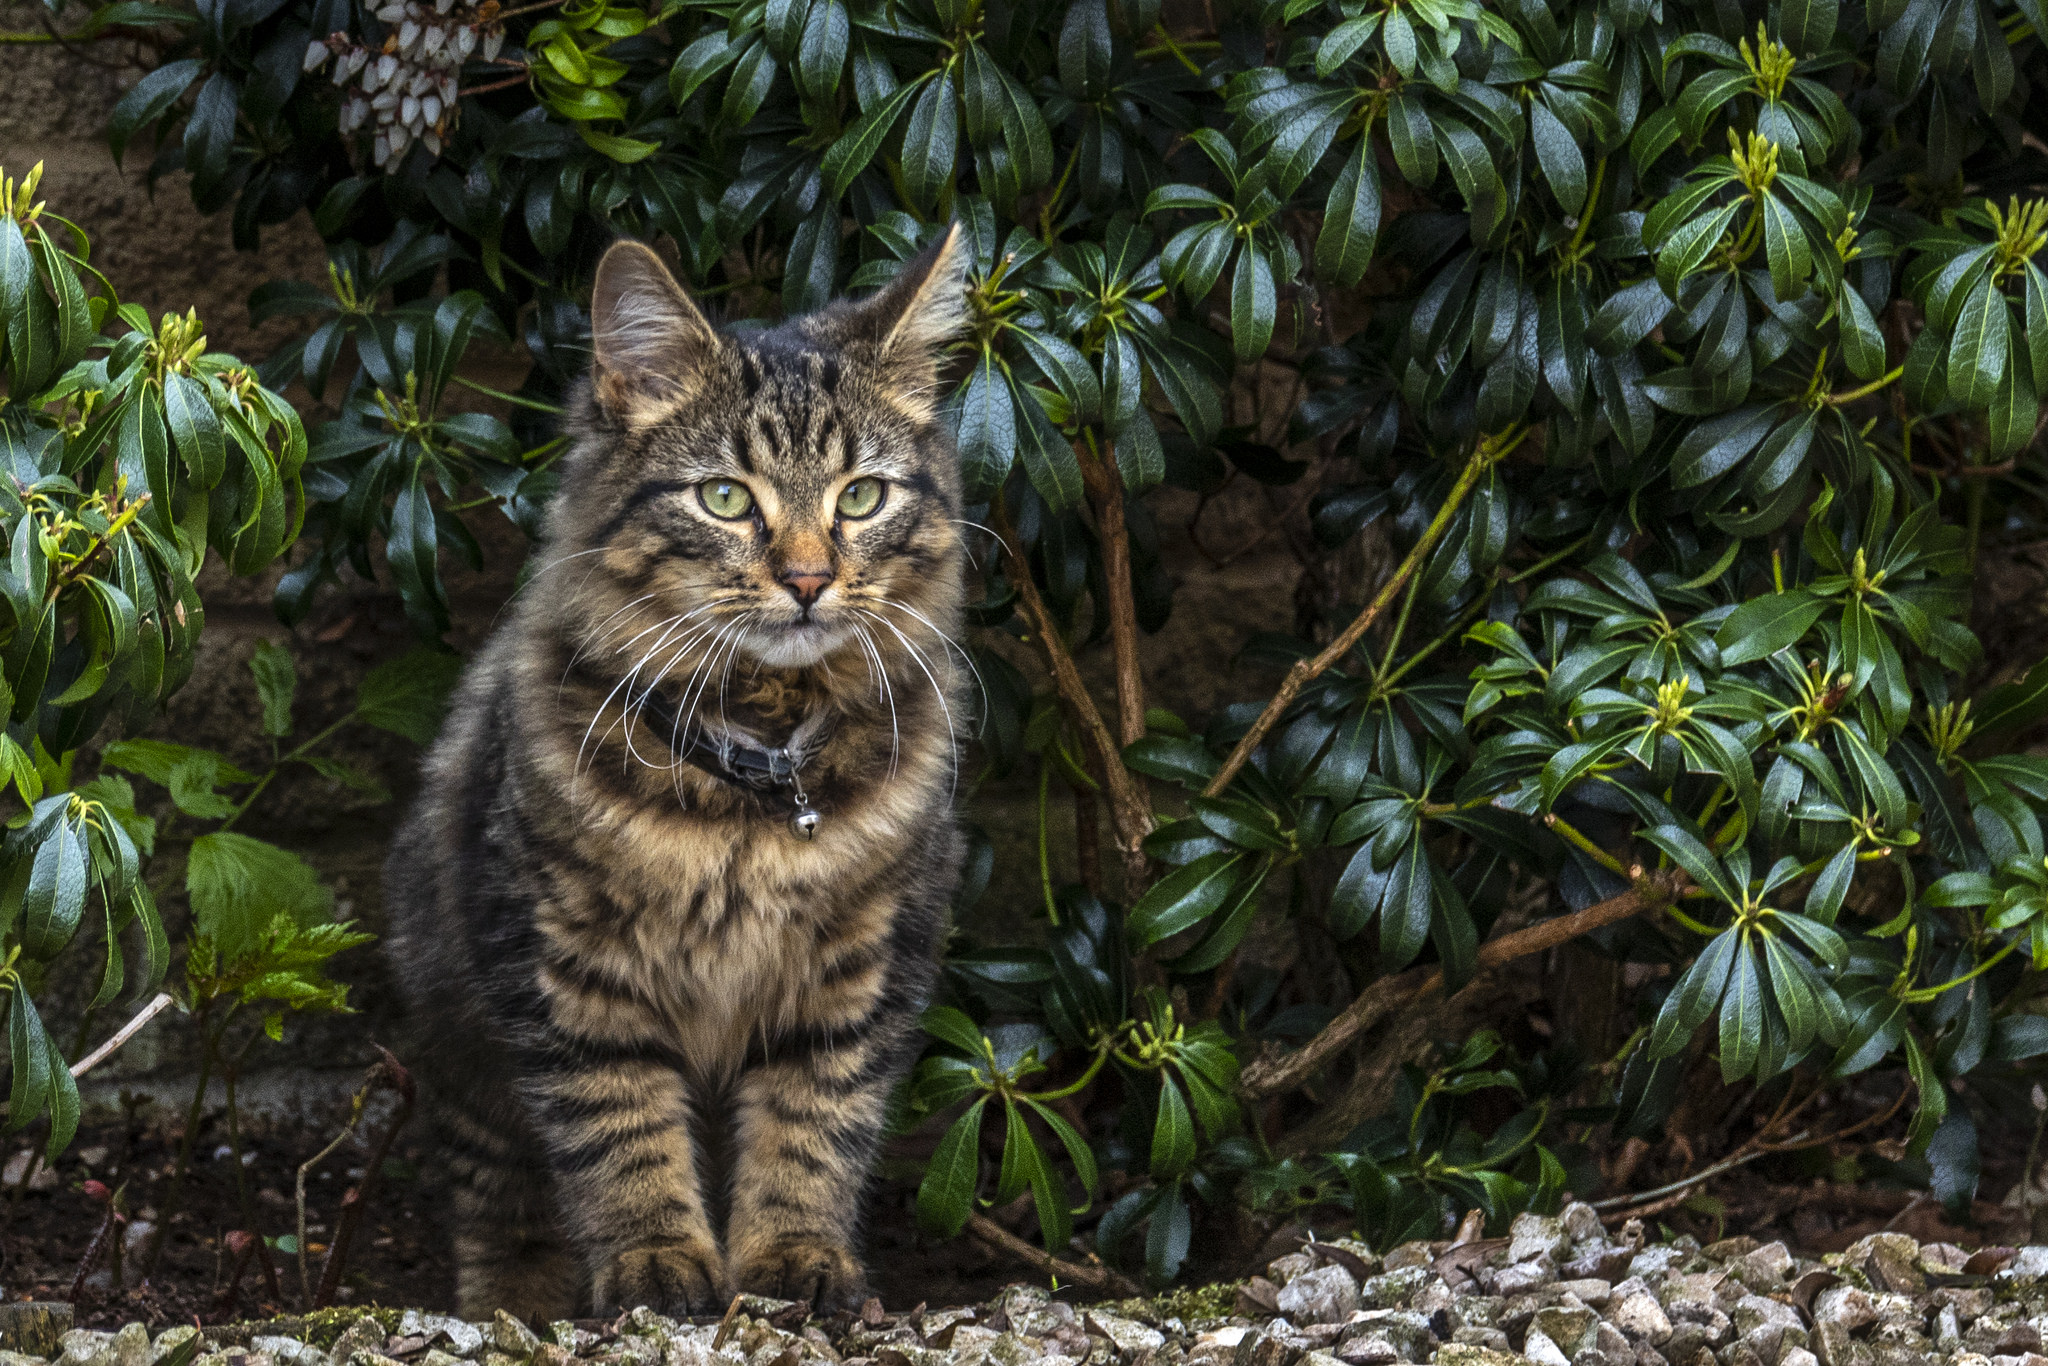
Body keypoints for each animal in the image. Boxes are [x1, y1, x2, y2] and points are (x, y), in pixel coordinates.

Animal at [385, 229, 974, 1318]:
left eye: (860, 496)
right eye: (727, 498)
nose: (807, 579)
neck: (752, 782)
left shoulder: (857, 971)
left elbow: (809, 1130)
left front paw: (793, 1261)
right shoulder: (569, 969)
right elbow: (622, 1133)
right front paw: (657, 1264)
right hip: (458, 1030)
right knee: (496, 1192)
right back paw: (519, 1297)